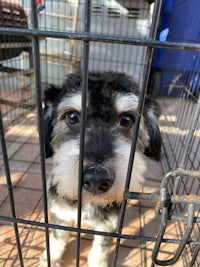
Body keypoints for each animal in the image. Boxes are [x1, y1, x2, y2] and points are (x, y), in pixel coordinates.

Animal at [39, 71, 162, 267]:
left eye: (126, 120)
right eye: (72, 117)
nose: (96, 179)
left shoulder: (109, 223)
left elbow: (101, 247)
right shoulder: (60, 214)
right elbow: (57, 239)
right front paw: (50, 259)